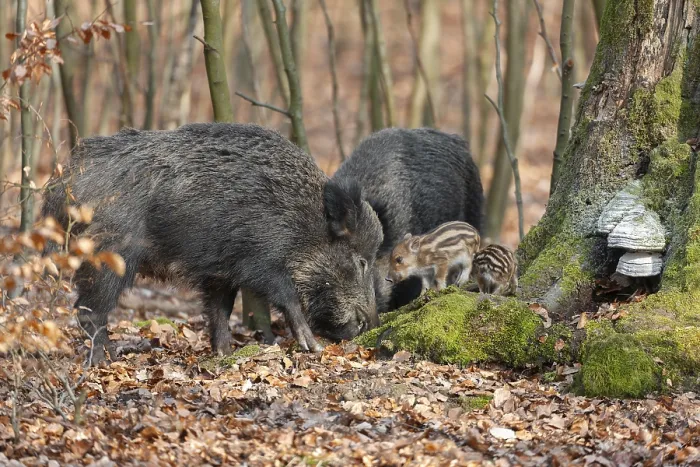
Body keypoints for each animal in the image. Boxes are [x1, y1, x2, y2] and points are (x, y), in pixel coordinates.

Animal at [41, 123, 383, 364]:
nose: (370, 323)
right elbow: (287, 298)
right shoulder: (260, 260)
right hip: (110, 255)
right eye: (361, 261)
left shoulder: (219, 272)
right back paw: (104, 361)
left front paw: (224, 354)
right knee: (88, 310)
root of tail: (62, 182)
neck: (304, 222)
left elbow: (220, 310)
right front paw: (312, 347)